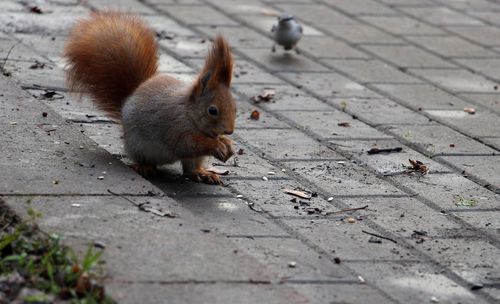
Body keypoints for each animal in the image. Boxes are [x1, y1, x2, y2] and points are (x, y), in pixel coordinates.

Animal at [65, 11, 236, 185]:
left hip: (190, 158)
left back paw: (202, 173)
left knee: (189, 169)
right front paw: (216, 145)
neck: (189, 114)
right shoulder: (174, 125)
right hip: (138, 146)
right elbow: (186, 144)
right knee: (147, 160)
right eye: (212, 110)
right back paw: (145, 167)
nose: (229, 131)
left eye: (235, 108)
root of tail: (129, 98)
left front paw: (227, 143)